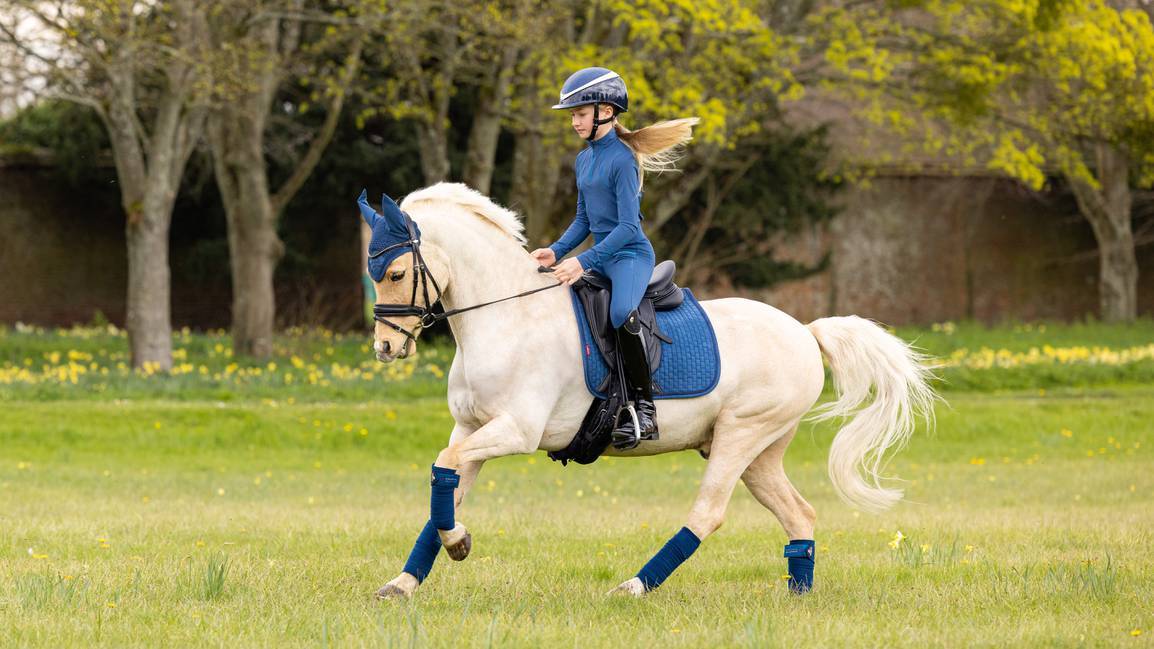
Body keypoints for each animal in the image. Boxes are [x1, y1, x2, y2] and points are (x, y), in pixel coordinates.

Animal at [360, 182, 937, 595]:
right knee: (799, 513)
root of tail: (804, 331)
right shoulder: (472, 427)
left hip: (742, 435)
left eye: (394, 272)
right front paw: (408, 579)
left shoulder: (515, 431)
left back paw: (635, 586)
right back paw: (799, 595)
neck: (508, 316)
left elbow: (445, 468)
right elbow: (446, 482)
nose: (385, 348)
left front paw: (457, 543)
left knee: (708, 514)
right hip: (759, 452)